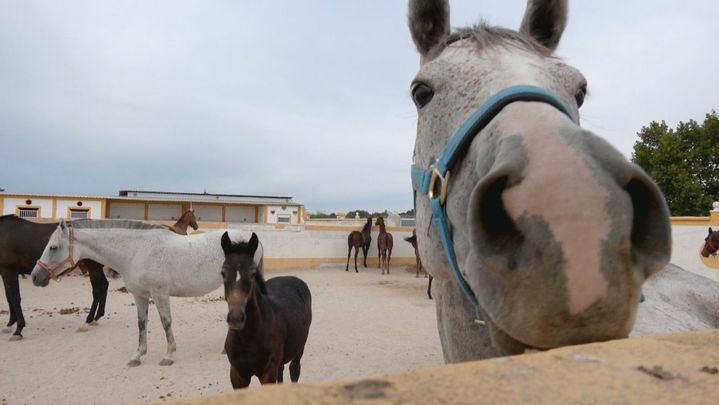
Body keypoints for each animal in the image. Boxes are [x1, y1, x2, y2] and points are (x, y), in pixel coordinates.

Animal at [31, 218, 259, 366]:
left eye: (53, 247)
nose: (35, 276)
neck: (136, 251)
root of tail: (249, 237)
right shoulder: (139, 296)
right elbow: (142, 324)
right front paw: (137, 356)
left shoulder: (159, 294)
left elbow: (166, 323)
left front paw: (169, 355)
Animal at [221, 232, 312, 388]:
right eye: (223, 273)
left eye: (252, 273)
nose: (236, 318)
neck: (247, 337)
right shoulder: (237, 375)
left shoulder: (267, 374)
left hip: (299, 348)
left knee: (294, 370)